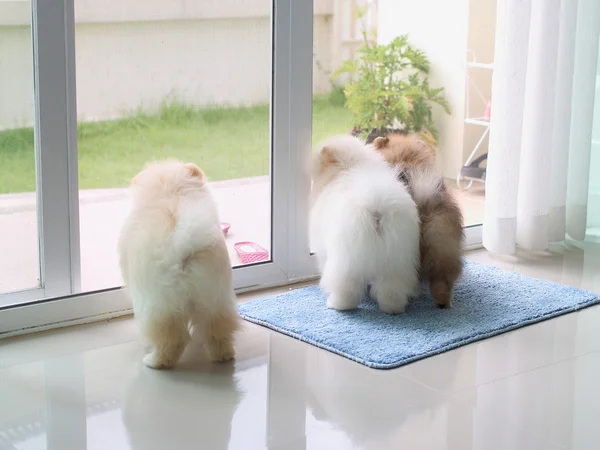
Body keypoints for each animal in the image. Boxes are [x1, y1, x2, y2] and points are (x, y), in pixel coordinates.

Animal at [117, 162, 239, 370]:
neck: (170, 193)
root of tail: (183, 247)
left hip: (158, 306)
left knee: (172, 341)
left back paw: (154, 361)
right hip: (215, 298)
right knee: (218, 331)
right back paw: (223, 356)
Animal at [312, 135, 420, 314]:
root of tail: (377, 208)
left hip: (346, 260)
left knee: (345, 287)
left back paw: (338, 304)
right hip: (396, 259)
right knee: (393, 288)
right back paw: (392, 308)